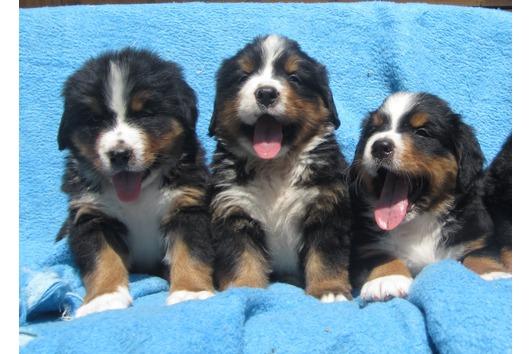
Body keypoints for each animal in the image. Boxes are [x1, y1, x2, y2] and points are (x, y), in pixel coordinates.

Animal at [57, 48, 215, 316]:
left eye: (146, 114)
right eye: (95, 120)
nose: (119, 154)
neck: (139, 195)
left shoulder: (188, 207)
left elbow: (191, 253)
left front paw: (190, 292)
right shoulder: (92, 216)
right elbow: (102, 259)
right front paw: (104, 299)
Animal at [208, 34, 354, 302]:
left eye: (294, 77)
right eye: (243, 77)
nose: (266, 93)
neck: (274, 166)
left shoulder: (326, 210)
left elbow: (326, 257)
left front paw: (329, 290)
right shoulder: (234, 210)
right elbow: (242, 257)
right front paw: (244, 288)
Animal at [350, 91, 512, 302]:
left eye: (422, 132)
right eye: (373, 131)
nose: (379, 146)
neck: (419, 222)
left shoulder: (478, 235)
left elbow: (480, 254)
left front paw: (492, 274)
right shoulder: (364, 245)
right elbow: (381, 256)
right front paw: (387, 279)